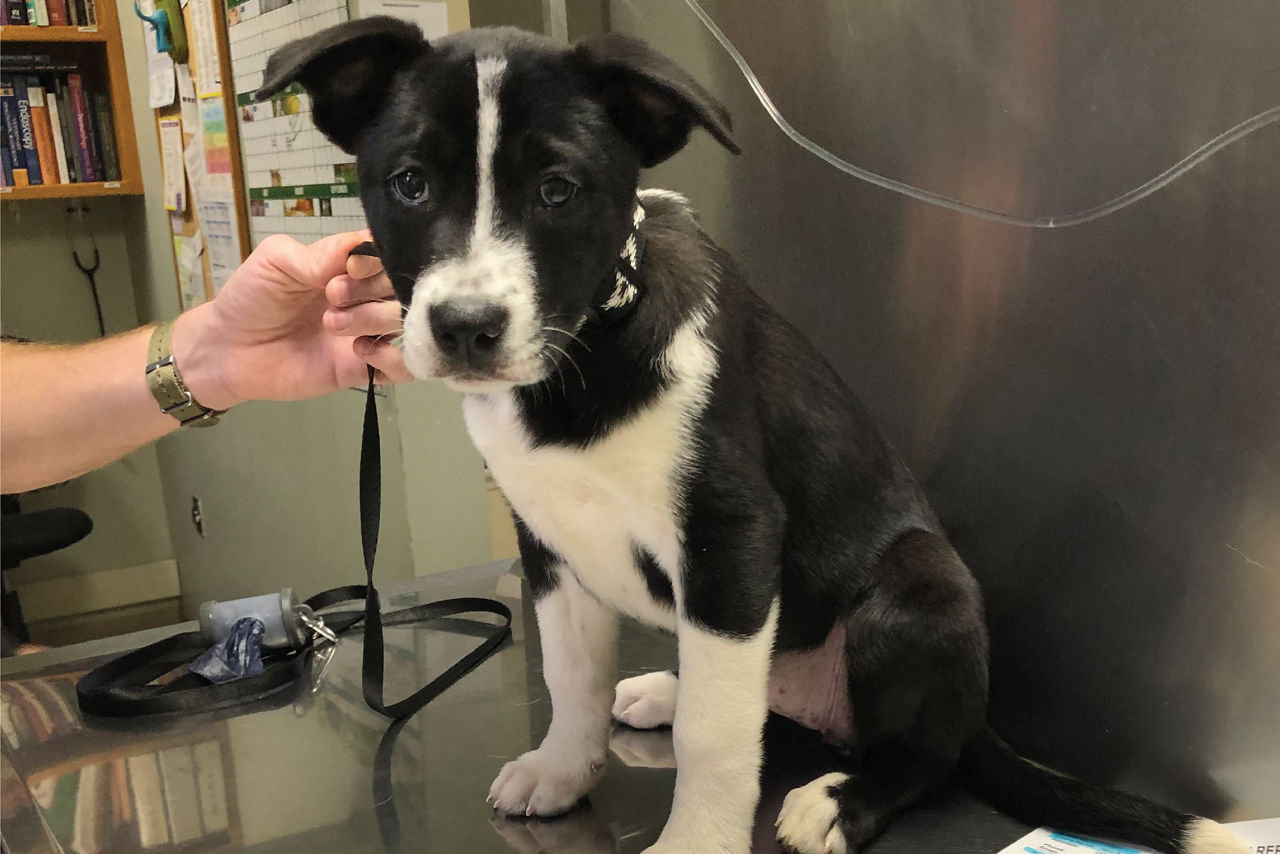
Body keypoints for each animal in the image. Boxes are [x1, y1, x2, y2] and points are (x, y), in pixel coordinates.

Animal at [262, 20, 1249, 854]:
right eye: (410, 183)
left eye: (557, 191)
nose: (467, 327)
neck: (589, 351)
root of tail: (976, 716)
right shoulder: (547, 539)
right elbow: (573, 676)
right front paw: (563, 770)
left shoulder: (730, 535)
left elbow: (715, 737)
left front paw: (695, 841)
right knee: (749, 694)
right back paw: (668, 688)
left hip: (916, 585)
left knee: (914, 753)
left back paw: (842, 800)